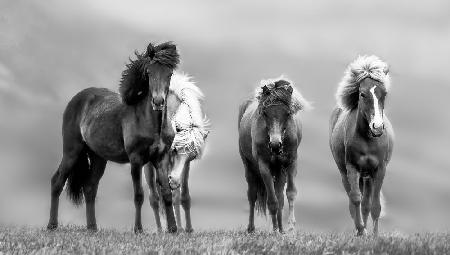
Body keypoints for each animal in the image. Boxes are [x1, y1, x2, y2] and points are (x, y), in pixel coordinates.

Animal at [45, 41, 179, 233]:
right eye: (148, 72)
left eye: (170, 74)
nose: (158, 102)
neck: (151, 124)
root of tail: (78, 99)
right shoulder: (136, 160)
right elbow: (138, 195)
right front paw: (138, 229)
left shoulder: (161, 158)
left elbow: (167, 193)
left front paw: (173, 230)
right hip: (72, 151)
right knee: (57, 181)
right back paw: (52, 225)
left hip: (98, 157)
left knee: (90, 188)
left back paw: (92, 228)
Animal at [142, 72, 209, 233]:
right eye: (175, 150)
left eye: (192, 156)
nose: (173, 180)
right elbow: (165, 193)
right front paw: (174, 227)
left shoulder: (185, 165)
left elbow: (182, 196)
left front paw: (187, 229)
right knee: (154, 197)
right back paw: (161, 230)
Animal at [239, 76, 310, 233]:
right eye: (265, 113)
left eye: (288, 113)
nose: (275, 145)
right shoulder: (264, 166)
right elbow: (272, 201)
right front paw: (275, 230)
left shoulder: (291, 163)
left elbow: (290, 193)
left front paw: (290, 227)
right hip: (249, 167)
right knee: (252, 195)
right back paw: (251, 228)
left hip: (279, 170)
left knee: (280, 197)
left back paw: (281, 228)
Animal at [330, 54, 394, 236]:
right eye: (362, 94)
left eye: (384, 93)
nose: (377, 127)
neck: (368, 139)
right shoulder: (352, 167)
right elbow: (356, 199)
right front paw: (361, 230)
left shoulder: (379, 169)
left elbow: (375, 206)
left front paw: (374, 236)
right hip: (346, 173)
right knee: (353, 202)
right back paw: (360, 231)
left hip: (368, 177)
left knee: (366, 204)